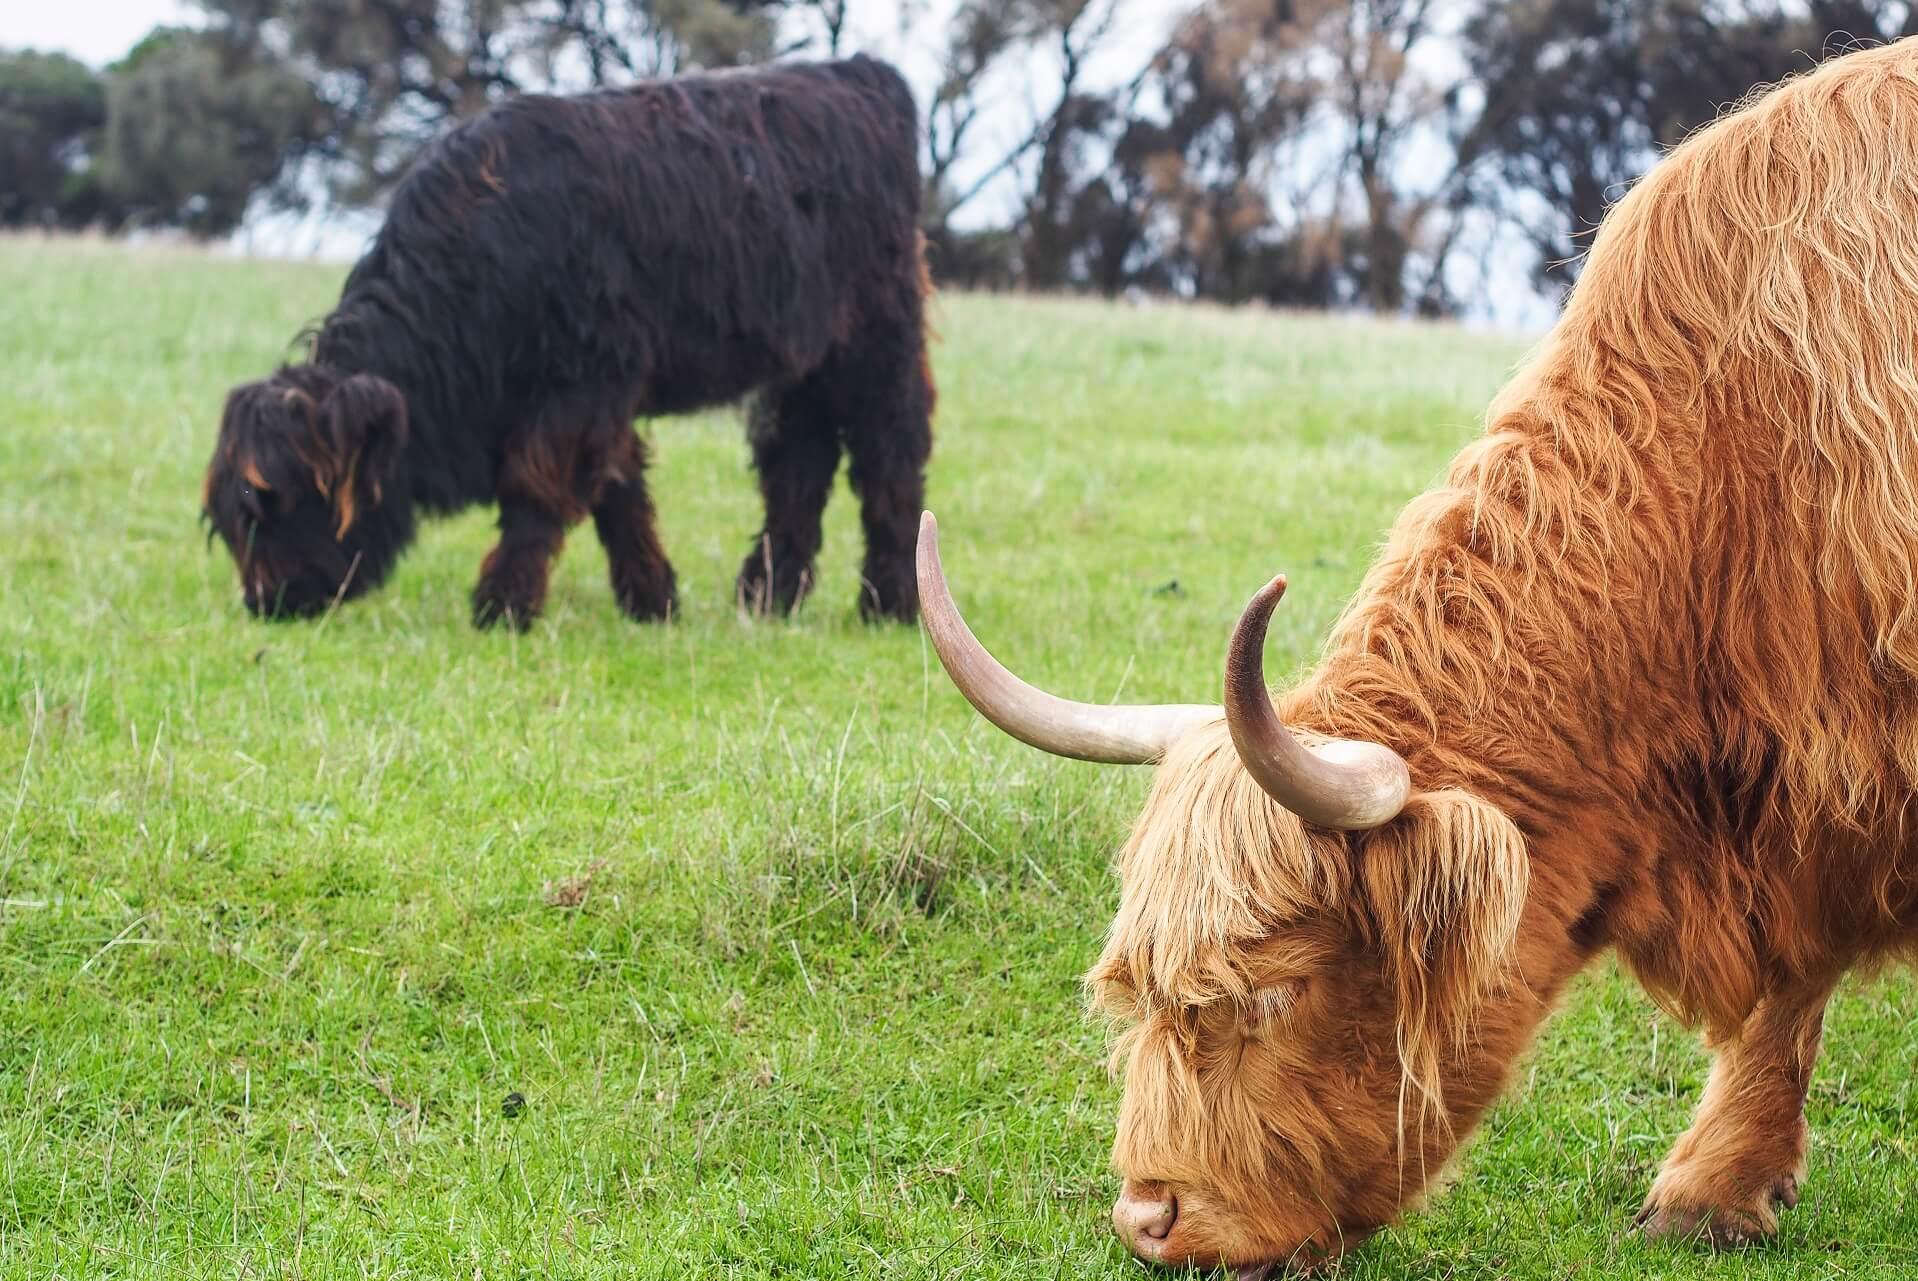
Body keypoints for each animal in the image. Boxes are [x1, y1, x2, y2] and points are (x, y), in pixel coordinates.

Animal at [203, 55, 933, 629]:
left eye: (269, 499)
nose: (268, 602)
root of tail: (861, 72)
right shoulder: (601, 397)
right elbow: (621, 492)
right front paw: (654, 601)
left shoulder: (580, 387)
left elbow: (537, 491)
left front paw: (501, 605)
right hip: (804, 360)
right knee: (798, 465)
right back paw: (768, 596)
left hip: (880, 340)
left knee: (890, 455)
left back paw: (890, 603)